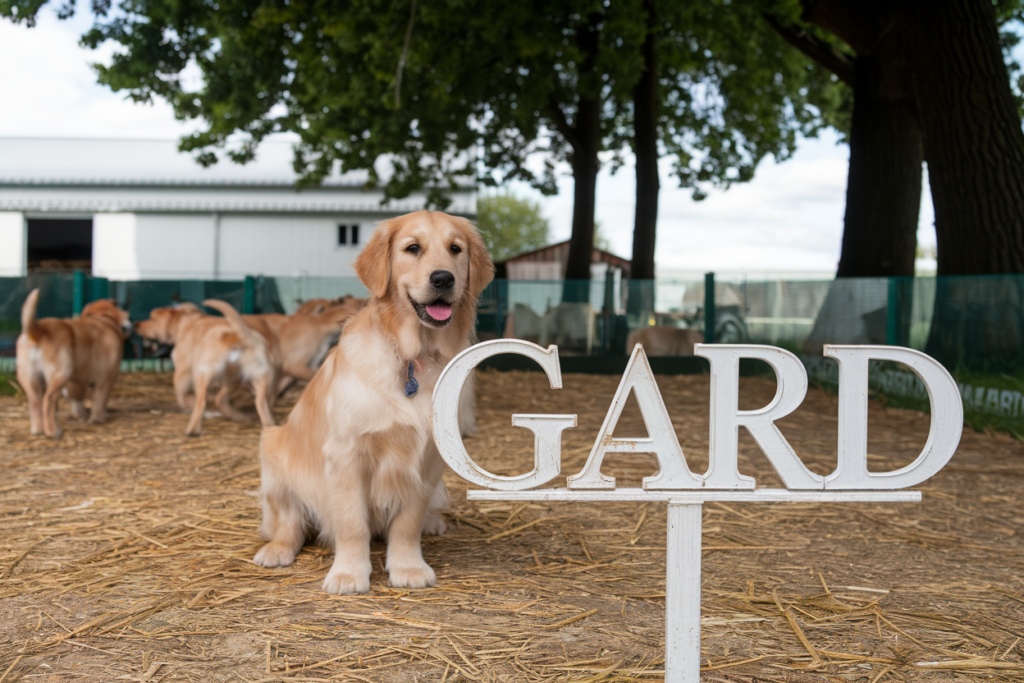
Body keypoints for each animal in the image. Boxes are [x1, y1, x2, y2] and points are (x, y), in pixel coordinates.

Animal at [16, 290, 133, 438]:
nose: (129, 327)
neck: (102, 318)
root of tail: (39, 328)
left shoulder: (75, 381)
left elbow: (77, 398)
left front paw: (82, 414)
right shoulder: (107, 378)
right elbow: (100, 400)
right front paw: (97, 419)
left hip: (29, 379)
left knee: (35, 403)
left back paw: (38, 430)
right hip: (59, 374)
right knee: (48, 401)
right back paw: (53, 432)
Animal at [254, 210, 495, 593]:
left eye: (455, 249)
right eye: (413, 248)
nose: (443, 278)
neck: (413, 358)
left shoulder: (428, 458)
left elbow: (408, 523)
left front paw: (408, 567)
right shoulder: (346, 454)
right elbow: (352, 523)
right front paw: (349, 574)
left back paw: (433, 523)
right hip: (272, 448)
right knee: (290, 523)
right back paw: (277, 550)